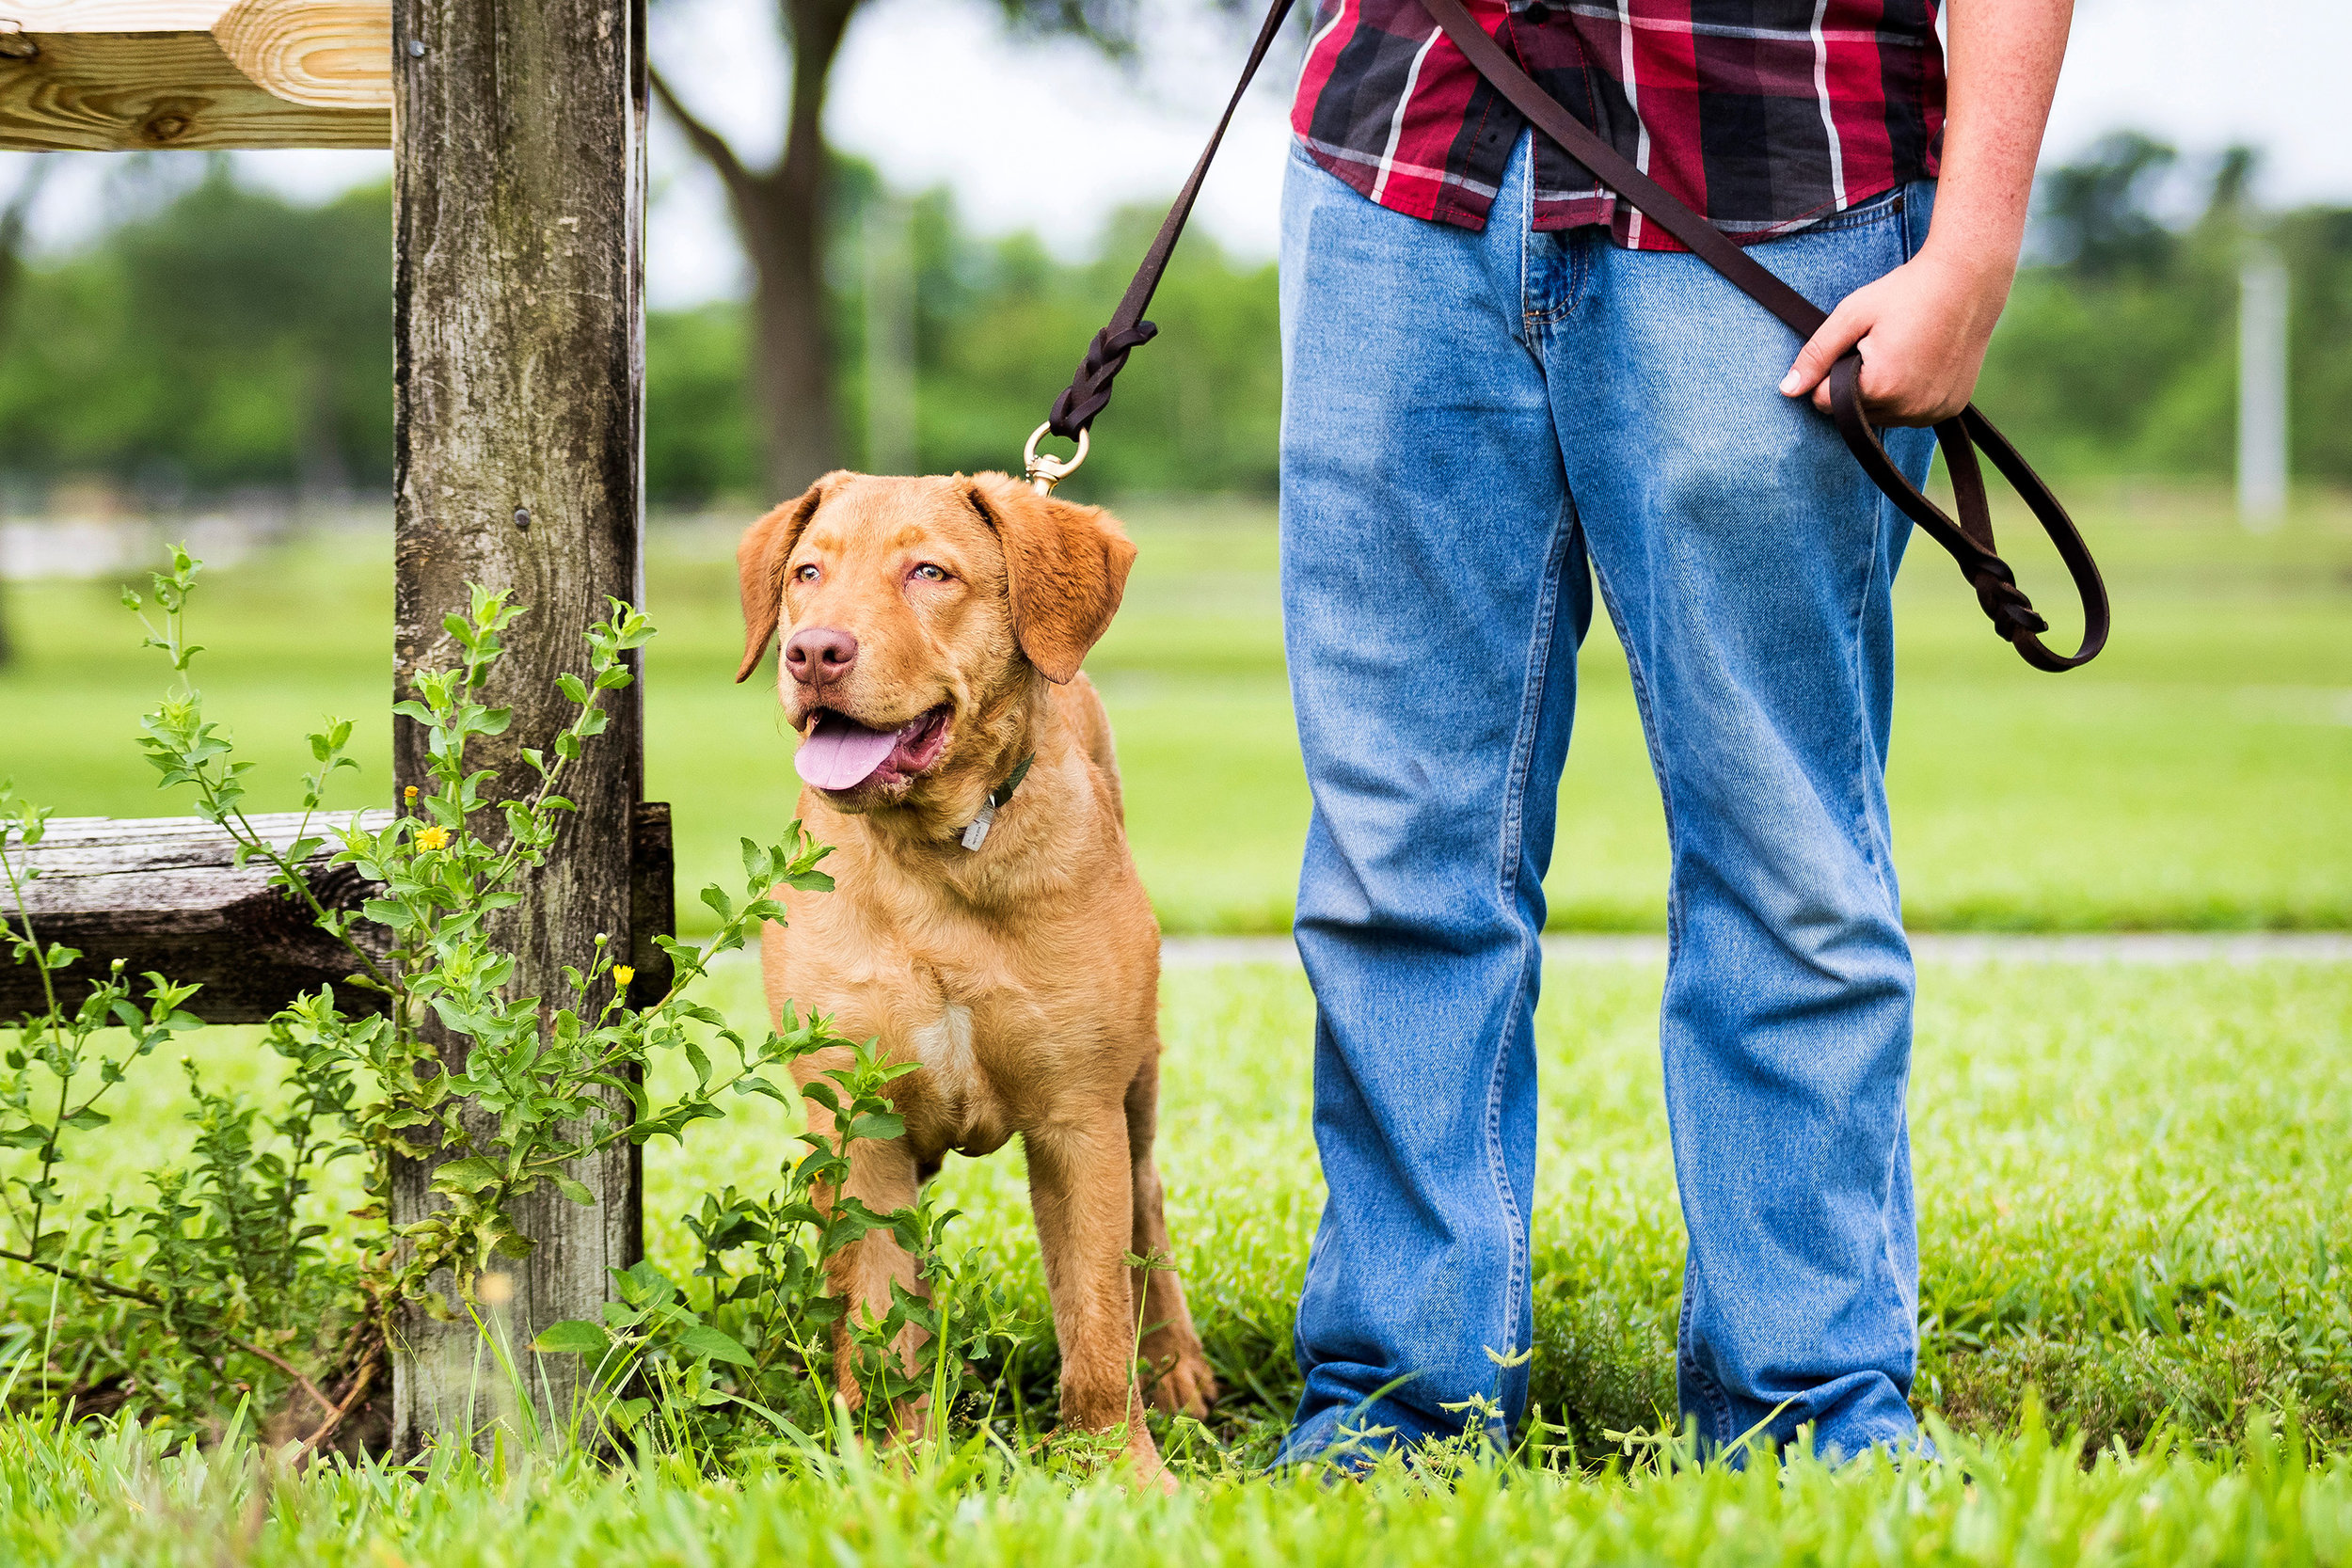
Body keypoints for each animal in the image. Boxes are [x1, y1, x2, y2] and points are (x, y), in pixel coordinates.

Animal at [729, 465, 1214, 1485]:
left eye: (929, 572)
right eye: (805, 572)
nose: (812, 651)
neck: (937, 861)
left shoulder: (1078, 1117)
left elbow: (1095, 1321)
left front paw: (1121, 1469)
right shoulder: (858, 1126)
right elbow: (880, 1320)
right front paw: (895, 1467)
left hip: (1138, 1081)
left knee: (1147, 1207)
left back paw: (1175, 1363)